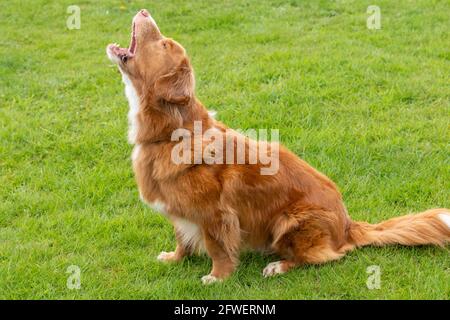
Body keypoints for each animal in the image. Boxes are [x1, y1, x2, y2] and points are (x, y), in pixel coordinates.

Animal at [106, 8, 450, 284]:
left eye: (164, 44)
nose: (144, 10)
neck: (171, 133)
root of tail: (348, 226)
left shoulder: (217, 216)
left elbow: (218, 248)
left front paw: (217, 277)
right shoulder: (182, 211)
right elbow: (181, 237)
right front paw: (175, 258)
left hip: (289, 221)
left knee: (323, 257)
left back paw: (279, 266)